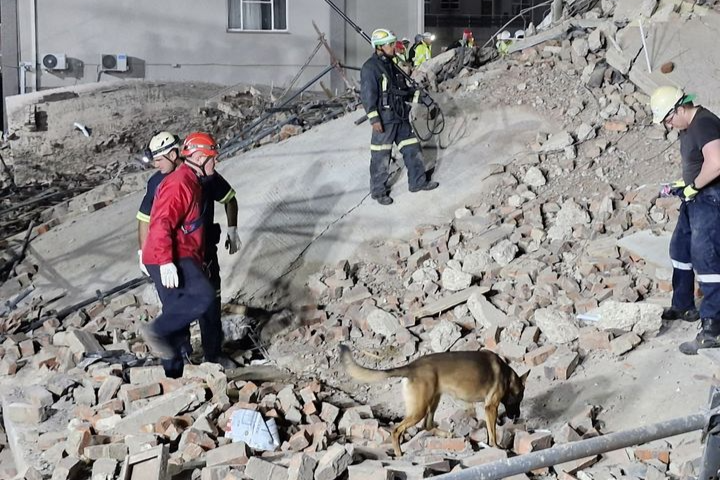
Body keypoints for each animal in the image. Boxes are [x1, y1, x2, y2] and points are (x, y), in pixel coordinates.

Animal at [338, 344, 528, 456]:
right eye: (519, 398)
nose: (516, 416)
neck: (508, 376)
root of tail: (411, 366)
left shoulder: (488, 408)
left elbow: (490, 430)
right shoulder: (491, 407)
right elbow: (493, 432)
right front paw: (496, 447)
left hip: (433, 401)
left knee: (427, 425)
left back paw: (447, 434)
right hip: (420, 409)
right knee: (397, 430)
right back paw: (399, 454)